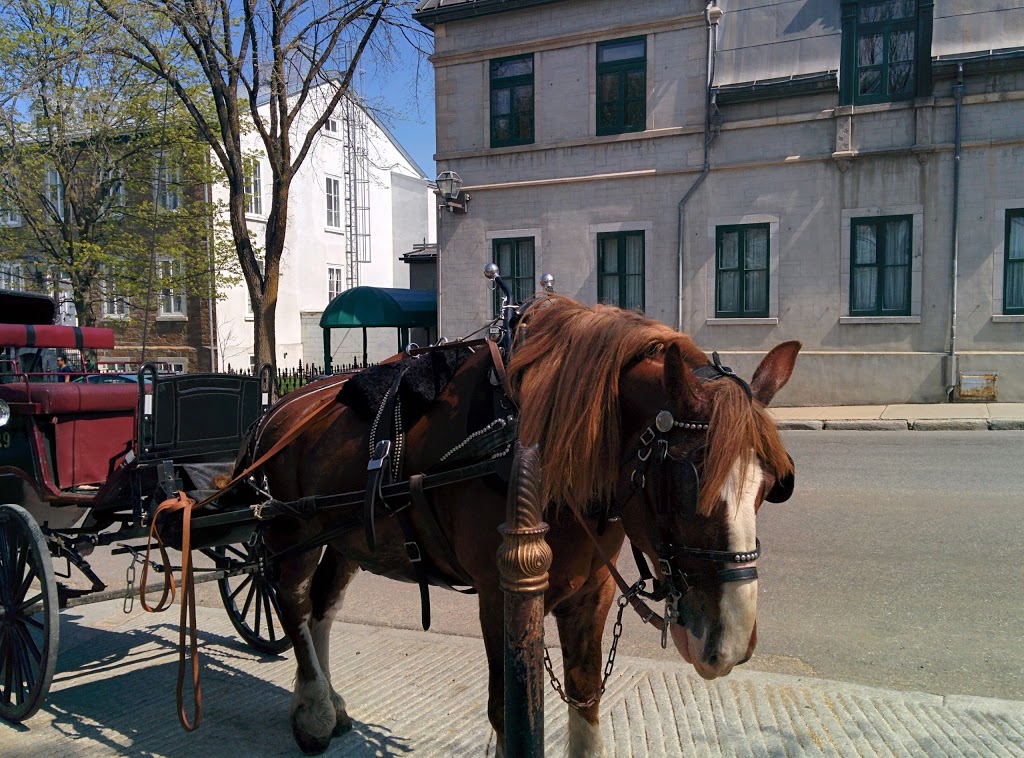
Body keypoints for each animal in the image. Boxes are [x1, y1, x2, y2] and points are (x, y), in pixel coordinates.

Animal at [245, 297, 798, 753]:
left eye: (773, 485)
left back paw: (328, 700)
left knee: (323, 604)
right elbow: (506, 712)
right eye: (682, 482)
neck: (530, 446)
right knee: (292, 601)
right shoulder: (498, 595)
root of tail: (279, 407)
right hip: (291, 534)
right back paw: (313, 711)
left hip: (347, 540)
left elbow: (585, 699)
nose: (729, 644)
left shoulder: (590, 594)